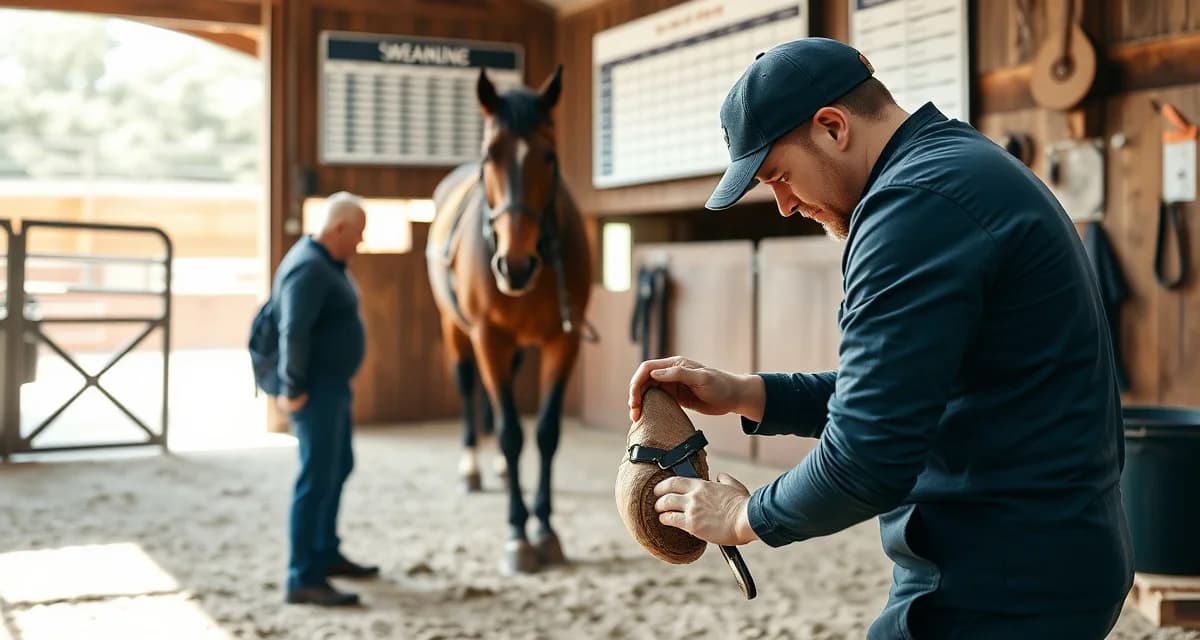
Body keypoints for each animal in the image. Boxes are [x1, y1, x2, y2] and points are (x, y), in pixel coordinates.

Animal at [425, 64, 592, 574]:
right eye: (489, 157)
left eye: (549, 157)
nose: (514, 266)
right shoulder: (488, 338)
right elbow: (511, 432)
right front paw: (518, 533)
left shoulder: (564, 341)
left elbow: (546, 433)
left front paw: (546, 529)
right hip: (457, 331)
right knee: (467, 386)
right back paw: (472, 467)